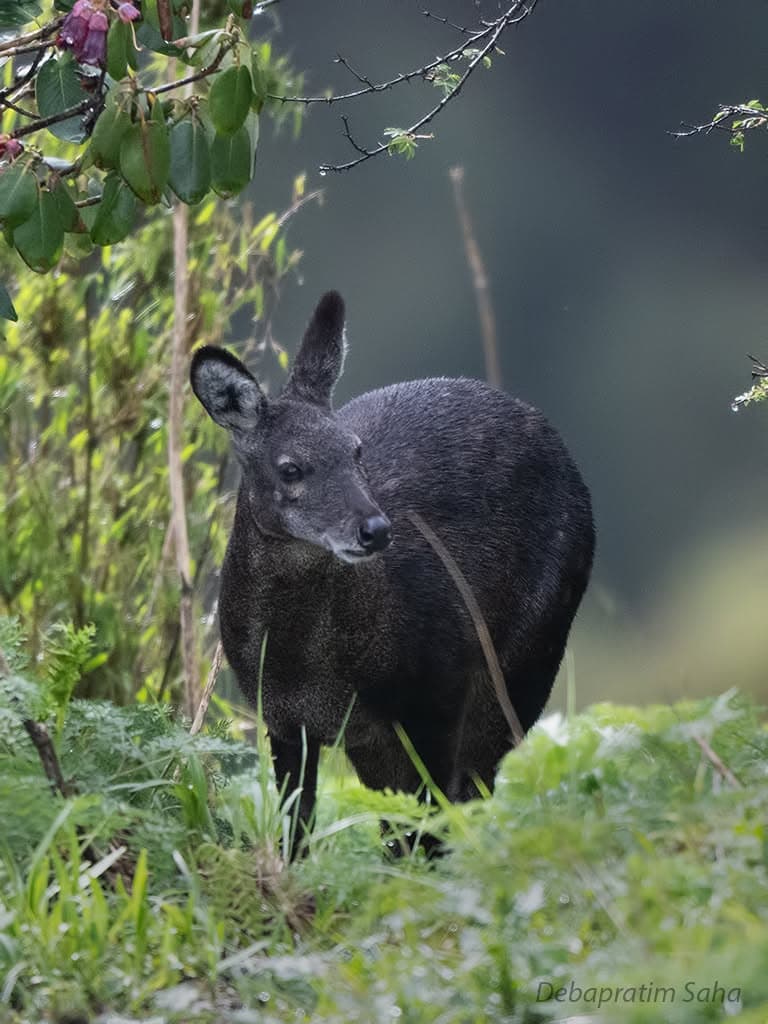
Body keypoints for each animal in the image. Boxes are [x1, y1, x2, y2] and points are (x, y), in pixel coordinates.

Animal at [190, 290, 594, 857]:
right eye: (290, 468)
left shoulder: (438, 686)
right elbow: (298, 826)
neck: (310, 664)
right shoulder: (285, 720)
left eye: (356, 451)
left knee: (471, 790)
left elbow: (432, 813)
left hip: (529, 652)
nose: (375, 529)